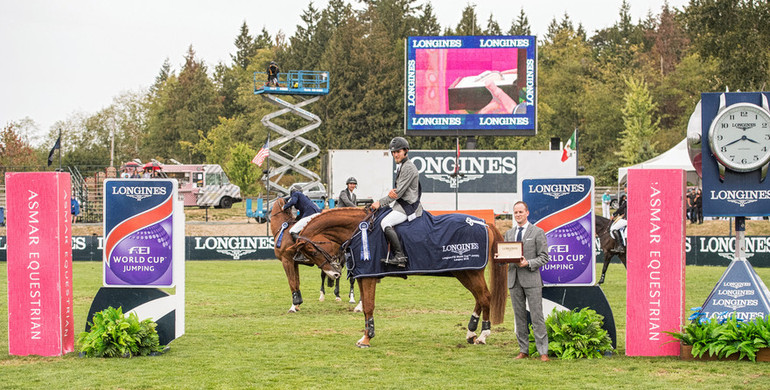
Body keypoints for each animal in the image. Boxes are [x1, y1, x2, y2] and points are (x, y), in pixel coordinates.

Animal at [284, 207, 508, 348]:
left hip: (470, 271)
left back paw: (483, 335)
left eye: (312, 250)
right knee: (480, 298)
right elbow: (366, 308)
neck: (360, 230)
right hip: (465, 272)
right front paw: (365, 335)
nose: (334, 273)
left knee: (485, 297)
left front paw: (367, 339)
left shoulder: (369, 276)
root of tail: (483, 223)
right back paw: (471, 333)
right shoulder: (365, 276)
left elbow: (368, 306)